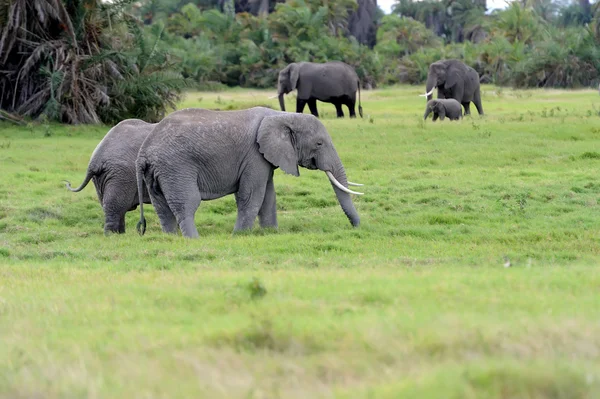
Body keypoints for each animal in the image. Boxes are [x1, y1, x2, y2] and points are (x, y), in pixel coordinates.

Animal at [135, 106, 360, 239]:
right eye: (319, 143)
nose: (357, 227)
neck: (281, 115)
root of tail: (144, 152)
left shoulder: (264, 158)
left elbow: (268, 195)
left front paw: (270, 233)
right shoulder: (254, 155)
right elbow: (252, 195)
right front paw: (239, 236)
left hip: (158, 171)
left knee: (162, 206)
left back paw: (171, 239)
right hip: (176, 166)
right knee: (187, 203)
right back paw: (194, 240)